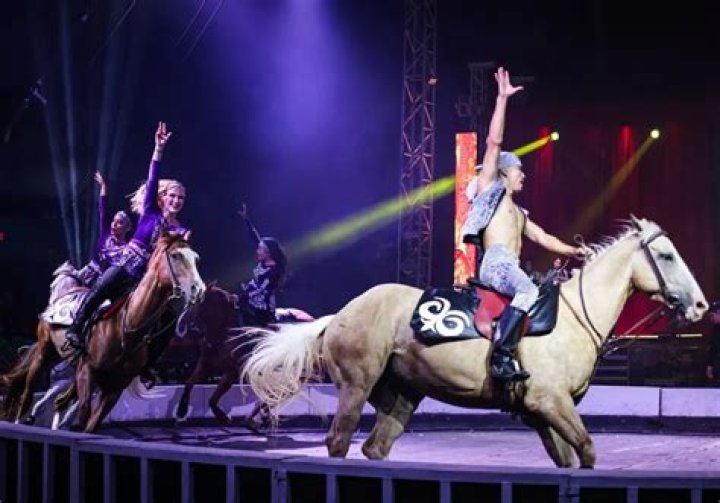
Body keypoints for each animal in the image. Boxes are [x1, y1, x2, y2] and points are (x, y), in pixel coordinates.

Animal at [0, 232, 206, 432]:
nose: (199, 290)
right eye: (176, 255)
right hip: (46, 352)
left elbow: (91, 424)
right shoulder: (87, 371)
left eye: (195, 258)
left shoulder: (114, 388)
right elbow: (83, 413)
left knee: (59, 402)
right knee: (27, 394)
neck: (127, 328)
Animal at [175, 283, 314, 426]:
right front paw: (181, 411)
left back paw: (258, 415)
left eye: (197, 302)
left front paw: (222, 416)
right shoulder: (206, 363)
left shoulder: (233, 371)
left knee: (288, 389)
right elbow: (190, 383)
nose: (180, 325)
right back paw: (259, 415)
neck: (224, 329)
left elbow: (213, 397)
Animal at [242, 217, 708, 468]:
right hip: (355, 386)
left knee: (375, 447)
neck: (573, 317)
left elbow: (571, 459)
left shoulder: (545, 414)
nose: (701, 305)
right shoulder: (549, 402)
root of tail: (339, 314)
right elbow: (588, 451)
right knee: (340, 442)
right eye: (666, 256)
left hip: (400, 396)